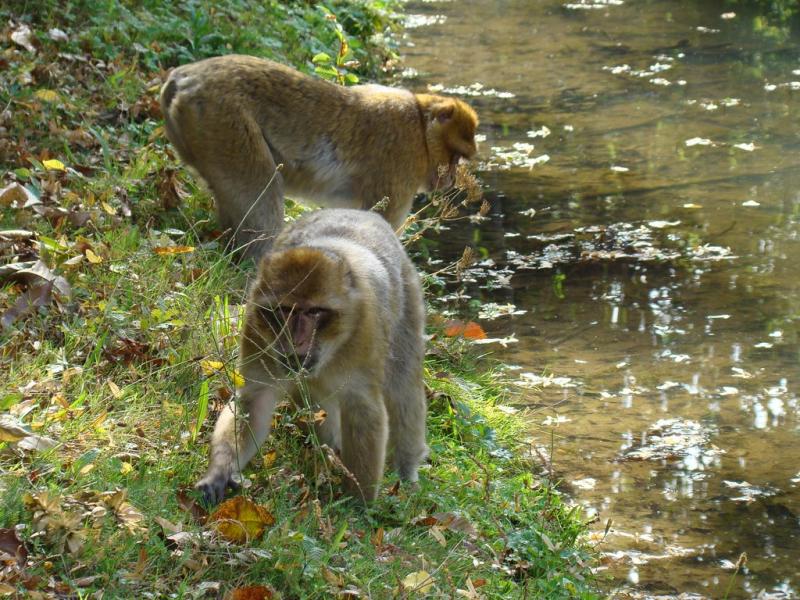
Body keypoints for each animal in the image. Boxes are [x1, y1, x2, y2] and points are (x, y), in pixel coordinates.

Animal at [160, 54, 479, 258]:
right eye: (455, 157)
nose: (451, 179)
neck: (420, 129)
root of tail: (182, 77)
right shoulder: (400, 163)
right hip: (227, 124)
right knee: (260, 196)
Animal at [195, 208, 428, 504]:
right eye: (285, 310)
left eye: (314, 312)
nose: (296, 339)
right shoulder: (256, 329)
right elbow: (255, 398)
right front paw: (220, 471)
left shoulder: (366, 332)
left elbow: (363, 408)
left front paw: (359, 505)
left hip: (408, 299)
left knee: (402, 388)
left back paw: (406, 472)